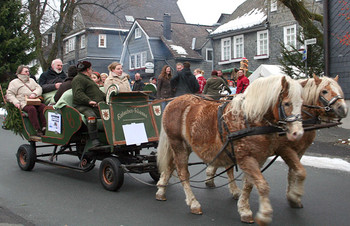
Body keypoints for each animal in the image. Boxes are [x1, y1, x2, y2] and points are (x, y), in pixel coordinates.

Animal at [155, 75, 304, 224]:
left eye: (302, 103)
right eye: (287, 103)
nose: (298, 133)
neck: (250, 118)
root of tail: (172, 102)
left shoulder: (257, 159)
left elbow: (249, 184)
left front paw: (244, 210)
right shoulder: (245, 158)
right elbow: (262, 185)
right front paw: (264, 214)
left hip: (186, 146)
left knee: (171, 165)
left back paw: (161, 190)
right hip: (178, 144)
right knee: (183, 173)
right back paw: (193, 203)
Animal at [205, 76, 348, 214]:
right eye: (324, 91)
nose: (343, 109)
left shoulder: (300, 150)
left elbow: (295, 172)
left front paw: (293, 197)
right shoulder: (285, 149)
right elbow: (300, 172)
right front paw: (294, 196)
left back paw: (211, 178)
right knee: (228, 167)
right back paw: (232, 189)